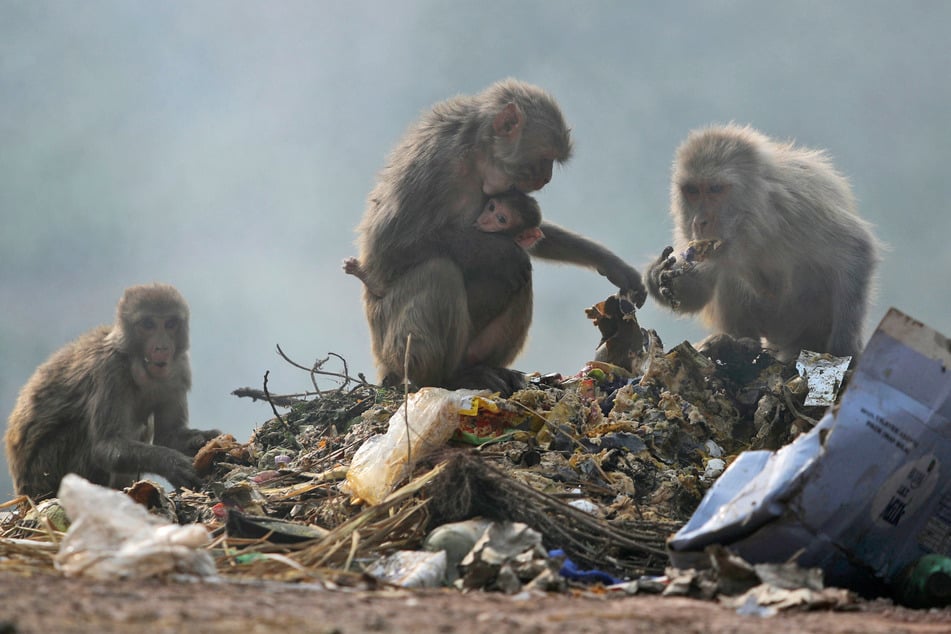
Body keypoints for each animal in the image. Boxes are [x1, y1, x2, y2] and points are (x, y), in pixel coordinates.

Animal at [4, 282, 222, 498]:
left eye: (170, 324)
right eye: (148, 324)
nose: (162, 348)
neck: (135, 360)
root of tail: (25, 493)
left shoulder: (178, 369)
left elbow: (169, 436)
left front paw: (204, 439)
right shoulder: (109, 371)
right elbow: (105, 447)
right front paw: (170, 464)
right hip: (46, 471)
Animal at [356, 79, 648, 392]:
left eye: (551, 163)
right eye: (544, 159)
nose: (546, 177)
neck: (474, 152)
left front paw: (612, 265)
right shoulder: (434, 163)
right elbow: (386, 248)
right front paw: (503, 252)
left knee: (519, 280)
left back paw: (483, 368)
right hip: (389, 343)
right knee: (442, 272)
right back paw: (444, 378)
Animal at [648, 123, 884, 360]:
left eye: (715, 189)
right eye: (693, 191)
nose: (700, 222)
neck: (754, 219)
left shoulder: (800, 206)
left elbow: (856, 249)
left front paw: (844, 346)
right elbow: (699, 290)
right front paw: (658, 276)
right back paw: (737, 343)